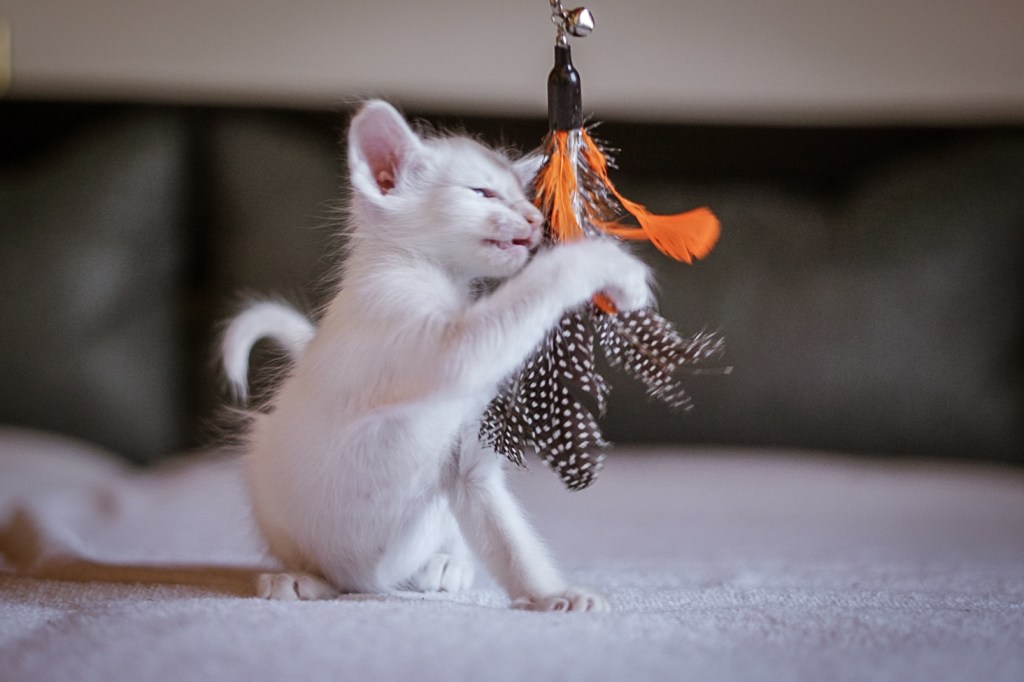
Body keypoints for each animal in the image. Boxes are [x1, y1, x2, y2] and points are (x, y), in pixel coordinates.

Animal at [221, 100, 651, 612]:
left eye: (521, 196)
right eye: (483, 193)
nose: (533, 218)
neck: (433, 273)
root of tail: (369, 580)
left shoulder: (469, 466)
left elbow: (508, 539)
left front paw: (550, 594)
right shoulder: (423, 335)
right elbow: (526, 297)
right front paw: (599, 261)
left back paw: (445, 565)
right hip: (264, 465)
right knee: (324, 566)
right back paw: (304, 578)